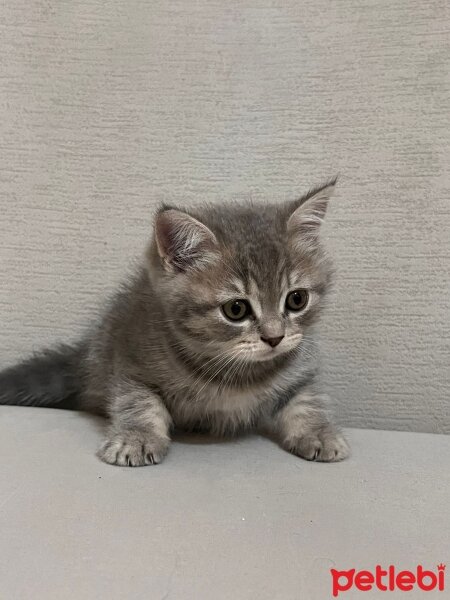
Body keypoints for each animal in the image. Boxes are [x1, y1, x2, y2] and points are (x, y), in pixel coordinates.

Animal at [0, 180, 348, 466]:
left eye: (296, 300)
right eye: (236, 309)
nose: (274, 337)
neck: (238, 374)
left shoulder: (301, 366)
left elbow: (308, 398)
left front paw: (320, 432)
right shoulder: (129, 360)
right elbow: (138, 401)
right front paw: (137, 438)